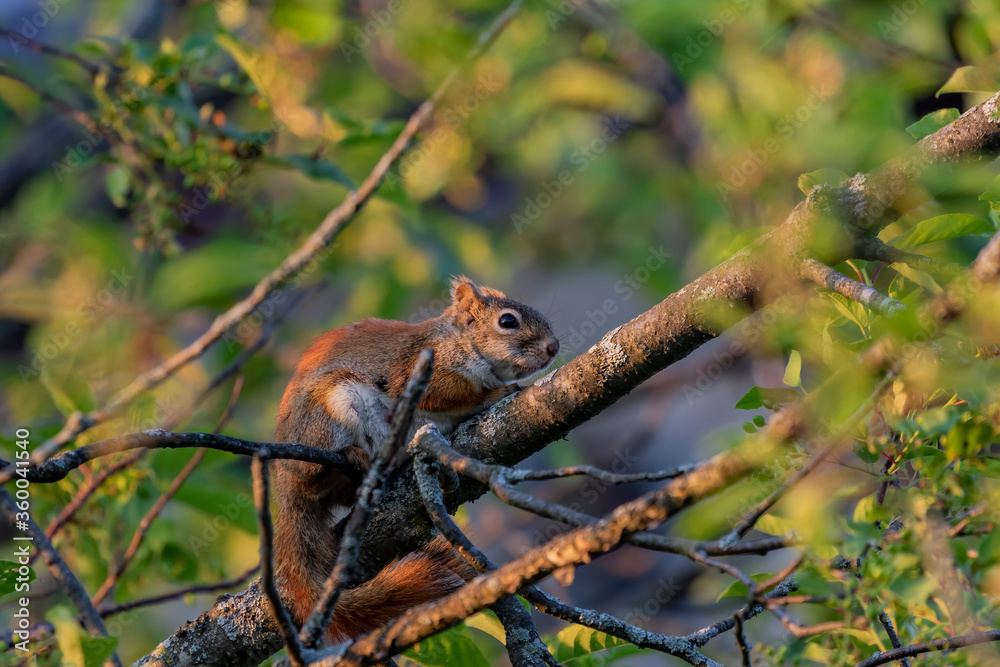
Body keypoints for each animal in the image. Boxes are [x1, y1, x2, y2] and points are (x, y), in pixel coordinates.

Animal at [270, 276, 560, 640]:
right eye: (508, 321)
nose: (554, 347)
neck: (456, 340)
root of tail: (284, 487)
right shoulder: (422, 373)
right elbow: (451, 395)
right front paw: (498, 393)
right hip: (332, 407)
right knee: (313, 477)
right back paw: (352, 458)